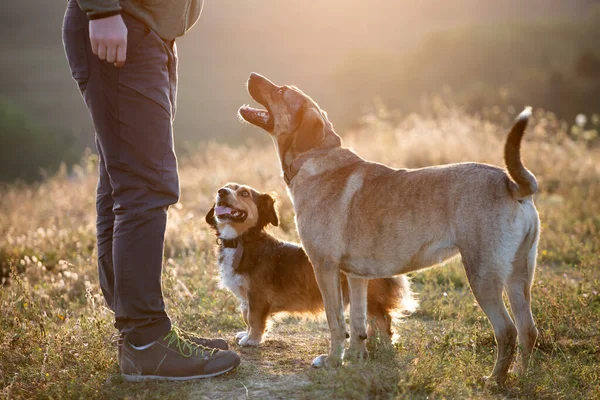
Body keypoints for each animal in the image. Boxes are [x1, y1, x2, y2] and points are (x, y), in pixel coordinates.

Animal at [204, 184, 414, 346]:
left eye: (245, 193)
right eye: (226, 186)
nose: (221, 192)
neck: (242, 241)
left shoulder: (257, 296)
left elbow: (254, 319)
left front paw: (252, 340)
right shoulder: (246, 298)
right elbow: (245, 316)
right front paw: (246, 334)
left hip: (370, 298)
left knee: (382, 319)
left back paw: (382, 342)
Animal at [240, 72, 544, 384]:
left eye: (281, 91)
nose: (251, 75)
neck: (315, 159)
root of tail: (511, 184)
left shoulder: (325, 267)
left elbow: (335, 321)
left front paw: (333, 361)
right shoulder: (355, 277)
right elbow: (358, 323)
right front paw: (356, 358)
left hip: (482, 276)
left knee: (506, 331)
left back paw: (494, 380)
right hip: (519, 277)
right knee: (528, 330)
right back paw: (522, 376)